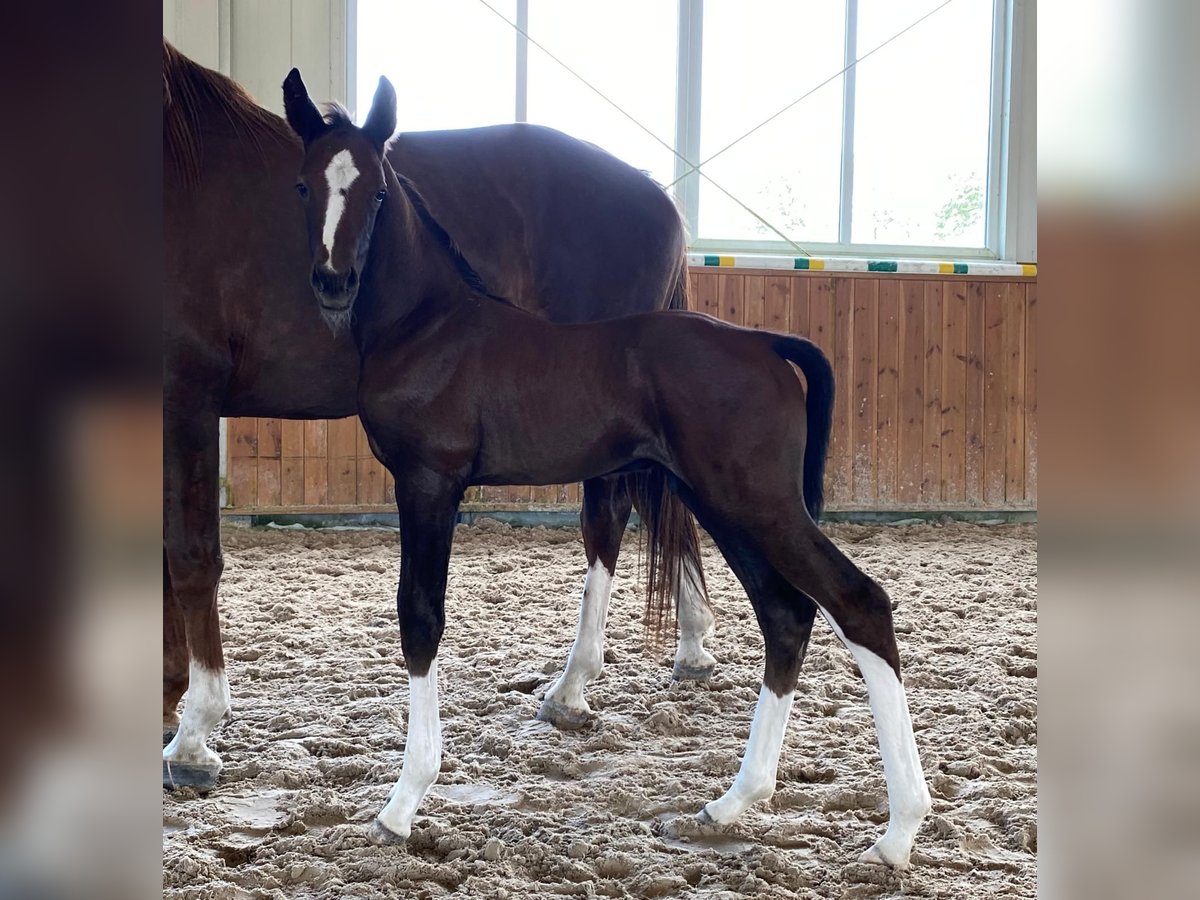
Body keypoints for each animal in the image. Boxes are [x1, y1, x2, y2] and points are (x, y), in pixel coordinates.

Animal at [164, 42, 715, 787]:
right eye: (300, 189)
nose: (333, 283)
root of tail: (657, 195)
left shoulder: (187, 393)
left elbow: (191, 556)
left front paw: (194, 732)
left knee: (609, 519)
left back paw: (573, 687)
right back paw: (691, 646)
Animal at [283, 74, 936, 868]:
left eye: (376, 191)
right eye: (305, 183)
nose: (333, 281)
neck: (431, 324)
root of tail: (764, 342)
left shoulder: (430, 483)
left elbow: (421, 618)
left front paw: (402, 805)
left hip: (758, 501)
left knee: (858, 601)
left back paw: (897, 833)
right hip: (721, 502)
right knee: (786, 615)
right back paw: (731, 804)